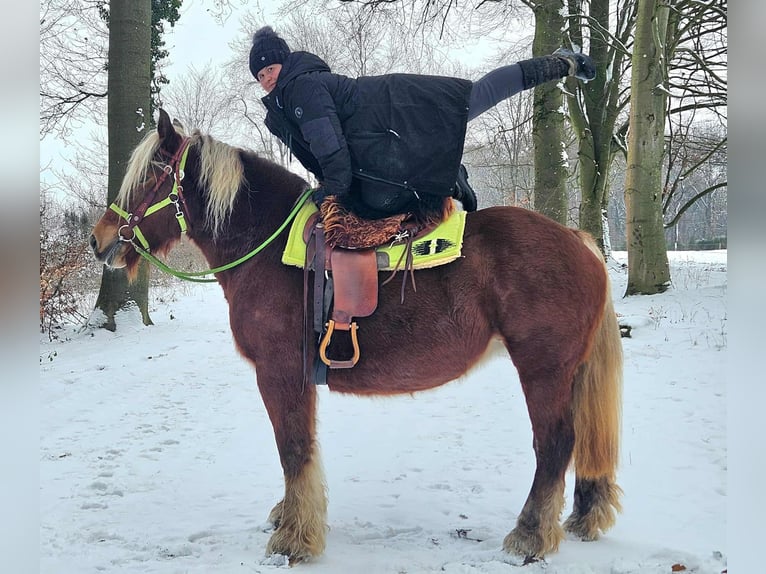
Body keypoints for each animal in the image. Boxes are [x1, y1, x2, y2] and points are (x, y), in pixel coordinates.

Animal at [90, 109, 623, 564]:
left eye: (150, 177)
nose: (100, 240)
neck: (266, 245)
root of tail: (577, 240)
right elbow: (300, 449)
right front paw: (291, 518)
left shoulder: (279, 373)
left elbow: (293, 449)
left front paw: (294, 539)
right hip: (568, 372)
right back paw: (581, 517)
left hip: (543, 369)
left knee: (555, 444)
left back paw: (529, 536)